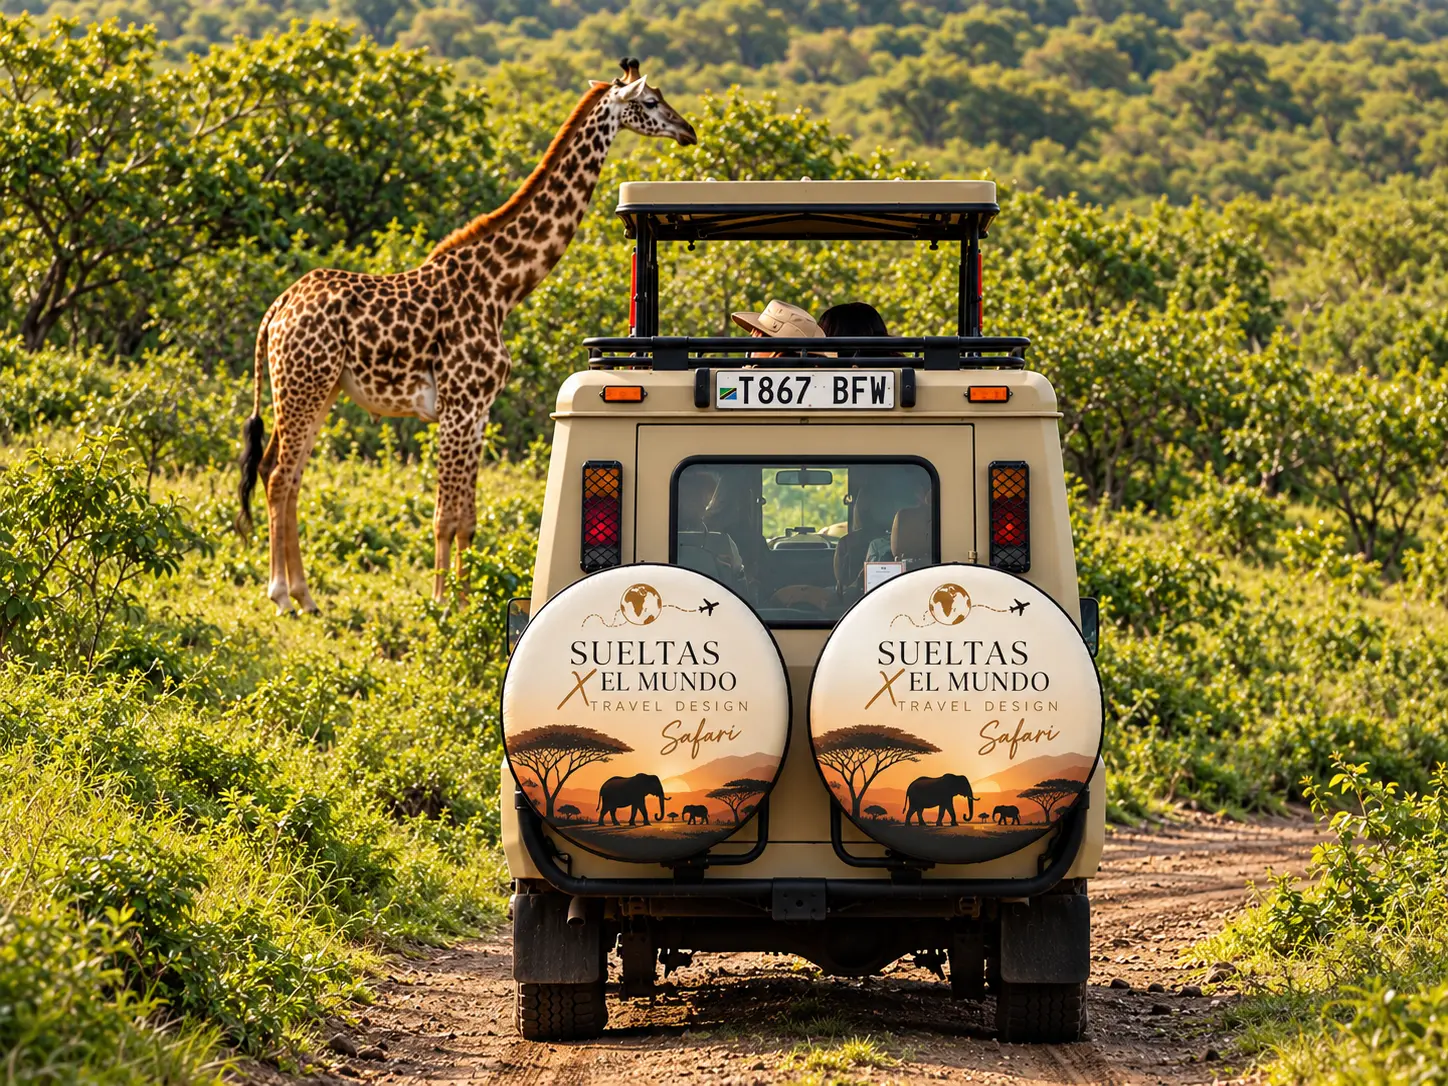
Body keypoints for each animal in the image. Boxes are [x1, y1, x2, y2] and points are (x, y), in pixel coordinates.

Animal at [235, 60, 696, 613]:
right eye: (650, 102)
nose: (689, 131)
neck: (500, 285)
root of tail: (277, 310)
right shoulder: (458, 405)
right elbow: (444, 516)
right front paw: (440, 603)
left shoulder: (478, 410)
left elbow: (468, 520)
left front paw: (465, 600)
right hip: (302, 386)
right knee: (280, 475)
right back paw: (284, 595)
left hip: (317, 389)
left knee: (280, 472)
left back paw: (304, 594)